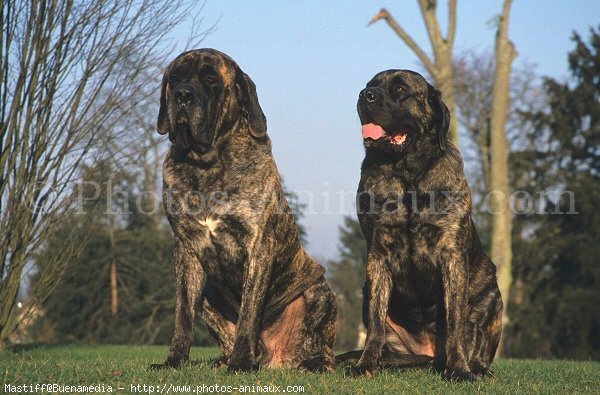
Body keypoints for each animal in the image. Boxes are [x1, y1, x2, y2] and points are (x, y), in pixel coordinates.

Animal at [149, 48, 336, 372]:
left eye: (211, 80)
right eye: (175, 78)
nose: (183, 94)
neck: (207, 164)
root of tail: (276, 359)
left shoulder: (258, 245)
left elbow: (250, 310)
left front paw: (241, 362)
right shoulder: (186, 248)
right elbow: (183, 314)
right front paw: (174, 360)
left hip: (320, 292)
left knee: (321, 349)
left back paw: (309, 363)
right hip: (208, 298)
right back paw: (223, 361)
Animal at [340, 69, 504, 382]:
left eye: (400, 89)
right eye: (370, 86)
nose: (365, 95)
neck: (406, 174)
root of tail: (429, 356)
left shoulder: (452, 255)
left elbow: (455, 322)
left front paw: (459, 369)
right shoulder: (378, 254)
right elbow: (375, 323)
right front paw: (366, 364)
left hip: (491, 295)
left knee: (476, 342)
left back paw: (475, 367)